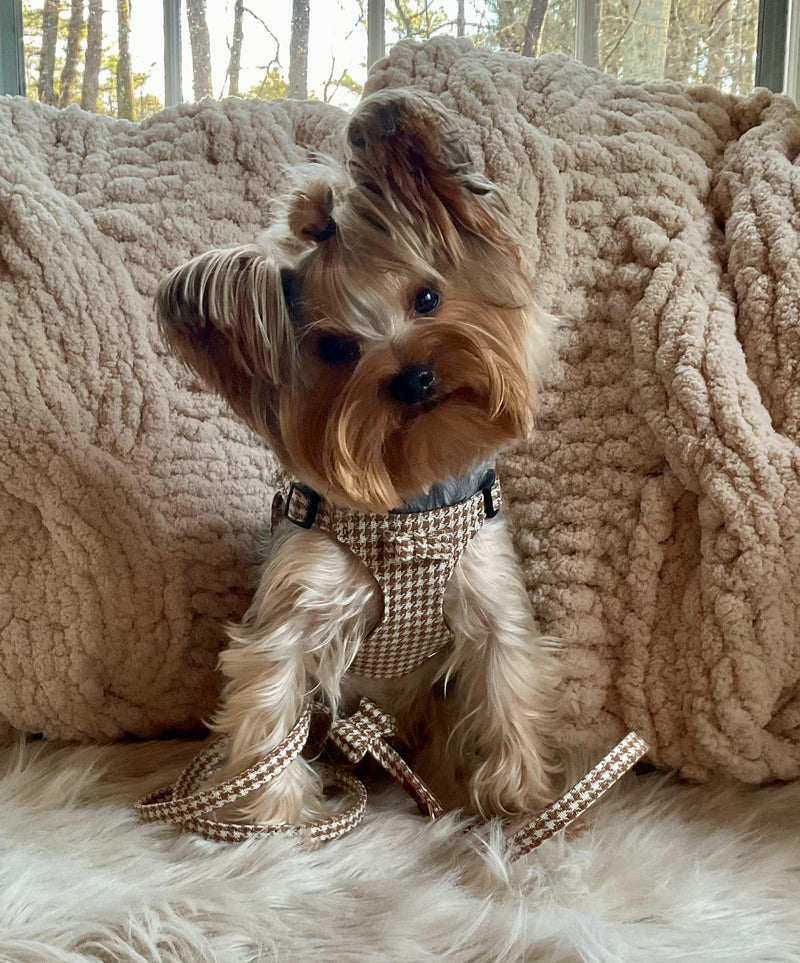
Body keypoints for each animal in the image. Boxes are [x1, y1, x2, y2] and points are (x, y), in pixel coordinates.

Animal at [155, 88, 556, 828]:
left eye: (427, 297)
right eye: (336, 349)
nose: (415, 378)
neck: (406, 511)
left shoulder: (490, 601)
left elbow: (507, 686)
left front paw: (521, 796)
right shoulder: (295, 606)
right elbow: (270, 698)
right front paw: (273, 810)